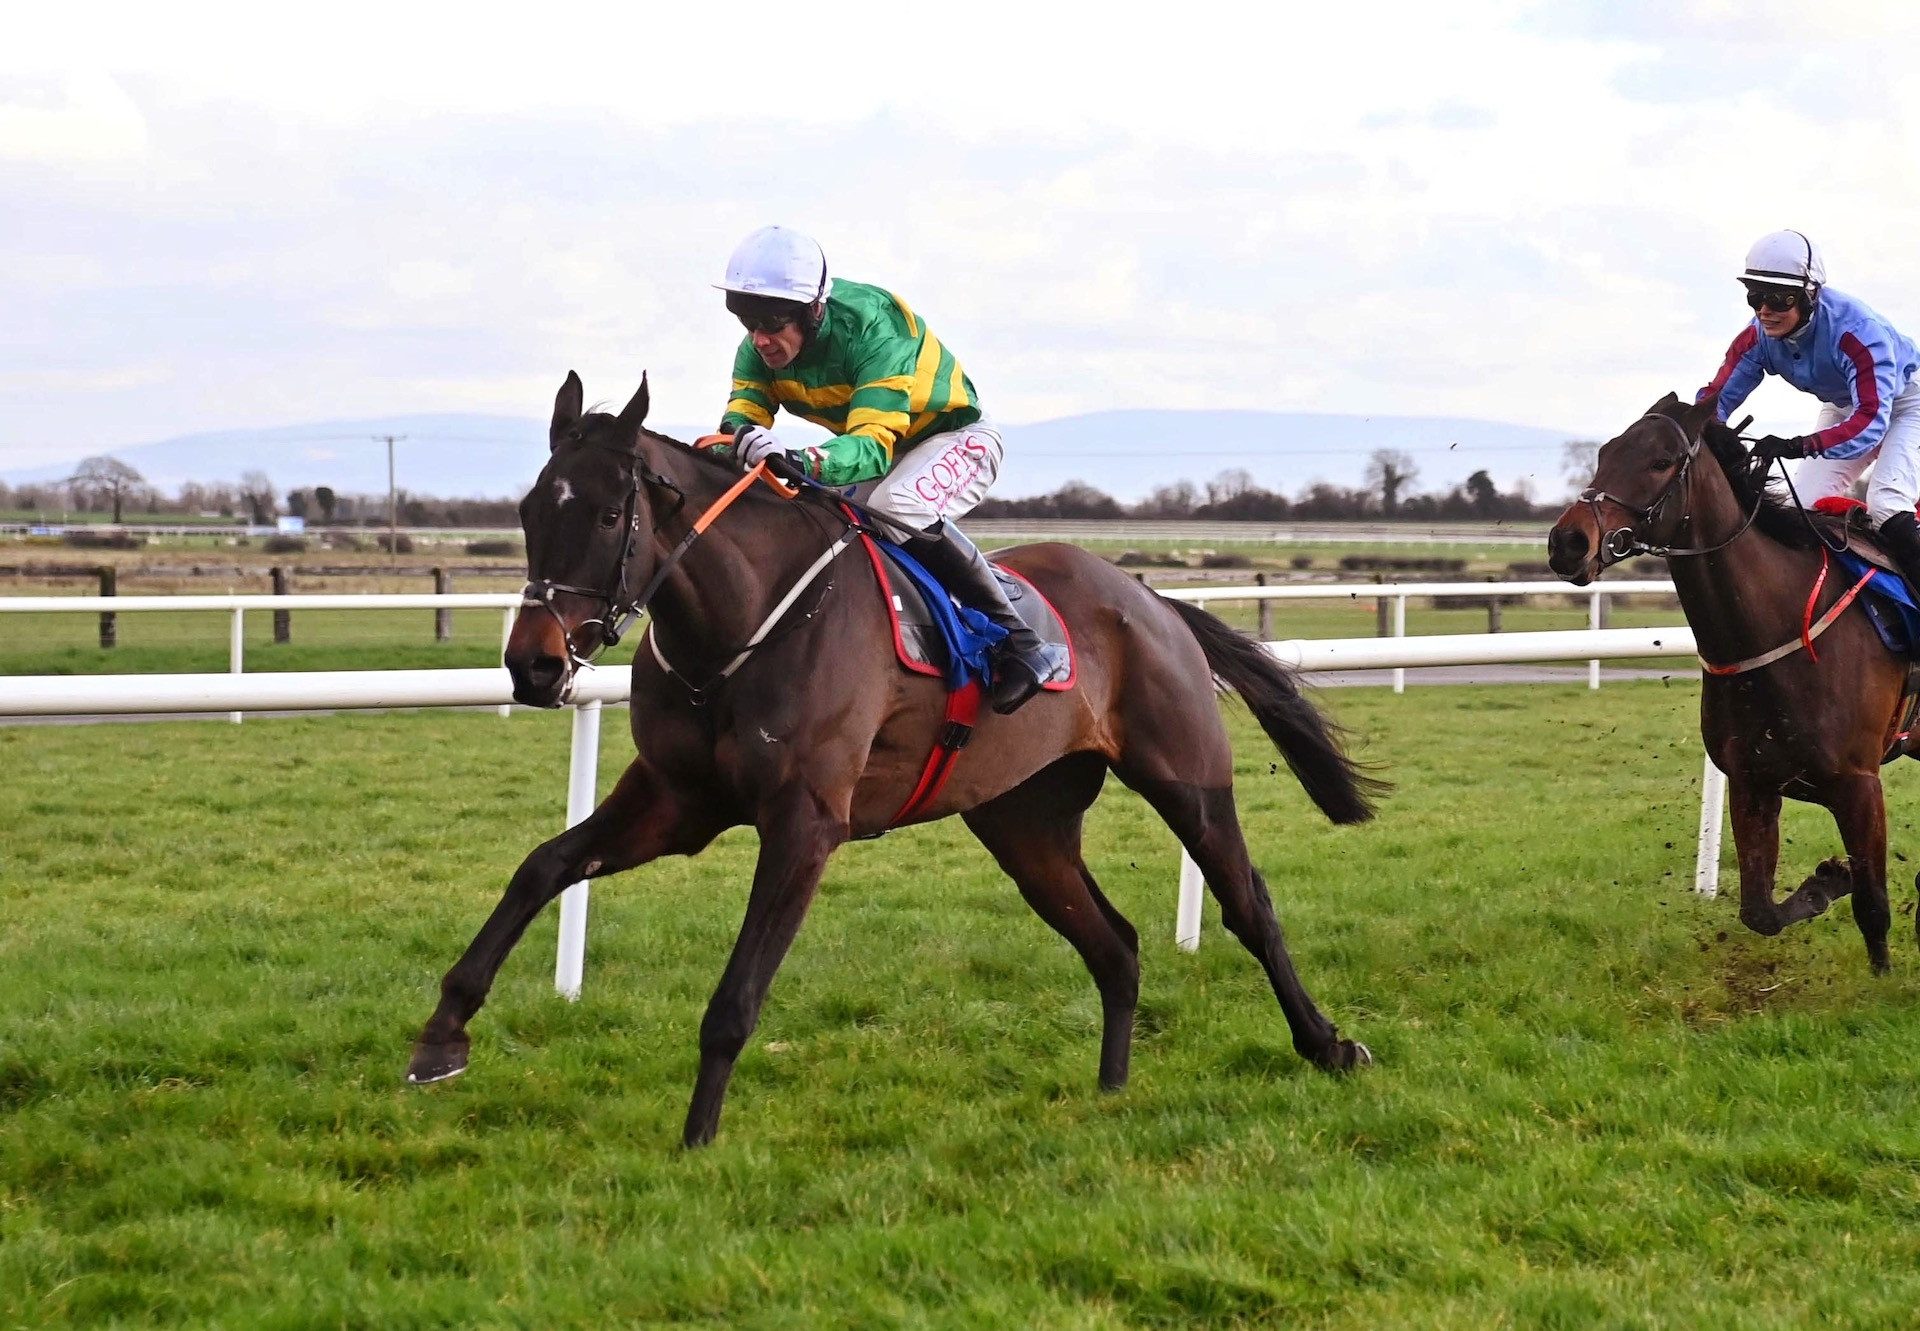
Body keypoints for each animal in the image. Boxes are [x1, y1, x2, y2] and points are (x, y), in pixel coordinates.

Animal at [412, 374, 1390, 1144]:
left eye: (611, 512)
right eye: (531, 511)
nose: (534, 665)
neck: (741, 623)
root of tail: (1150, 598)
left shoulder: (805, 823)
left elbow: (736, 997)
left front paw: (695, 1140)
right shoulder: (676, 801)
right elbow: (542, 866)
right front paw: (442, 1035)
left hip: (1187, 777)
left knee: (1249, 905)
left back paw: (1329, 1043)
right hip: (1025, 820)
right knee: (1113, 943)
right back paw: (1111, 1091)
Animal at [1551, 389, 1912, 971]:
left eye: (1659, 462)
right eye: (1605, 452)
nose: (1566, 542)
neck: (1774, 629)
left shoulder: (1859, 783)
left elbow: (1874, 907)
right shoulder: (1752, 781)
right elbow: (1758, 912)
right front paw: (1825, 882)